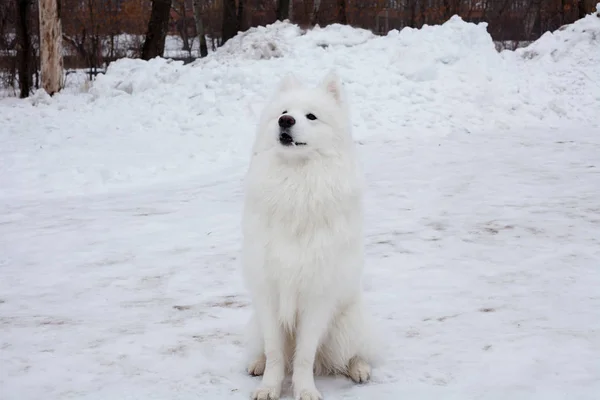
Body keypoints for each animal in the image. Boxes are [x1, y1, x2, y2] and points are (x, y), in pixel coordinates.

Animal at [240, 72, 372, 400]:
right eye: (284, 111)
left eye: (311, 116)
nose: (285, 121)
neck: (296, 182)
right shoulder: (268, 295)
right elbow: (276, 353)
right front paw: (269, 387)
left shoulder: (316, 297)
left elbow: (303, 356)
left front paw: (305, 390)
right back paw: (257, 363)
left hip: (346, 324)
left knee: (356, 351)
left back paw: (360, 368)